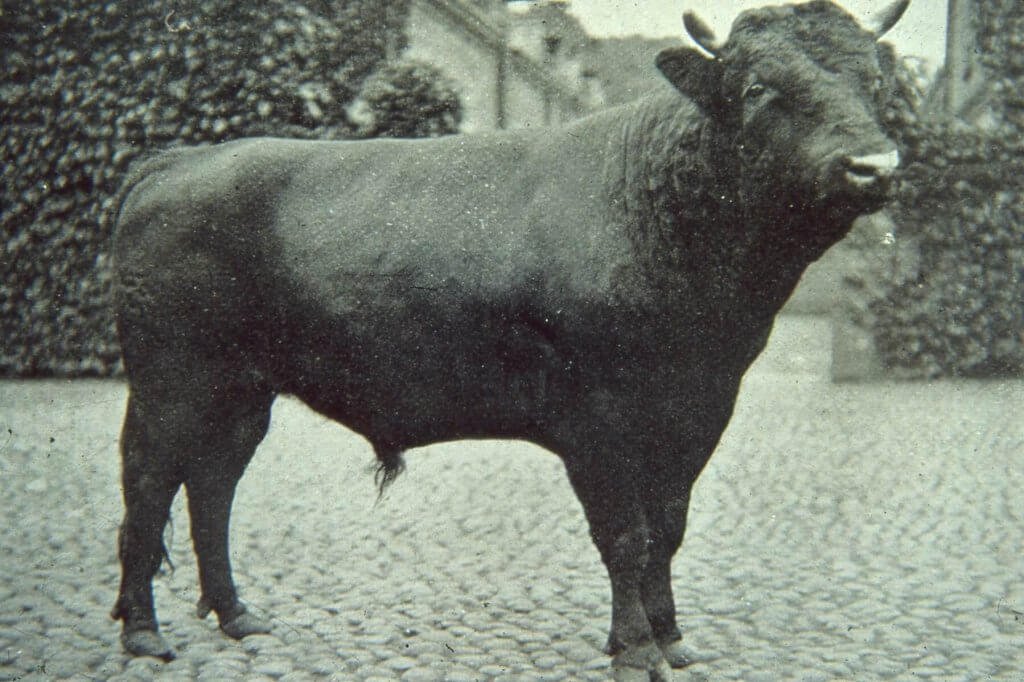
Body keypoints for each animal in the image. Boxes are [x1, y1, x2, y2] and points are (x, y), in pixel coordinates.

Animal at [112, 2, 909, 675]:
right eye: (758, 87)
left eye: (873, 80)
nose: (873, 166)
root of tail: (178, 161)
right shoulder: (599, 418)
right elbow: (625, 534)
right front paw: (634, 649)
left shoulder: (699, 410)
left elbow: (667, 529)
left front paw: (671, 637)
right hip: (172, 381)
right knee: (150, 483)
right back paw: (143, 631)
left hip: (243, 392)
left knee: (212, 485)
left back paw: (236, 615)